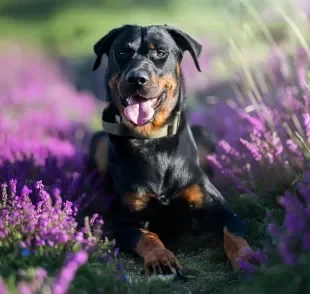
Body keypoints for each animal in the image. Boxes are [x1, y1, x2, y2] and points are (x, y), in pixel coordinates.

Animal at [88, 24, 254, 276]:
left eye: (160, 53)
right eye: (122, 52)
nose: (136, 78)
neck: (151, 140)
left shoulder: (221, 208)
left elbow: (234, 234)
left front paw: (249, 259)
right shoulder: (126, 220)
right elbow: (148, 236)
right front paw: (161, 259)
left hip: (204, 133)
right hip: (97, 141)